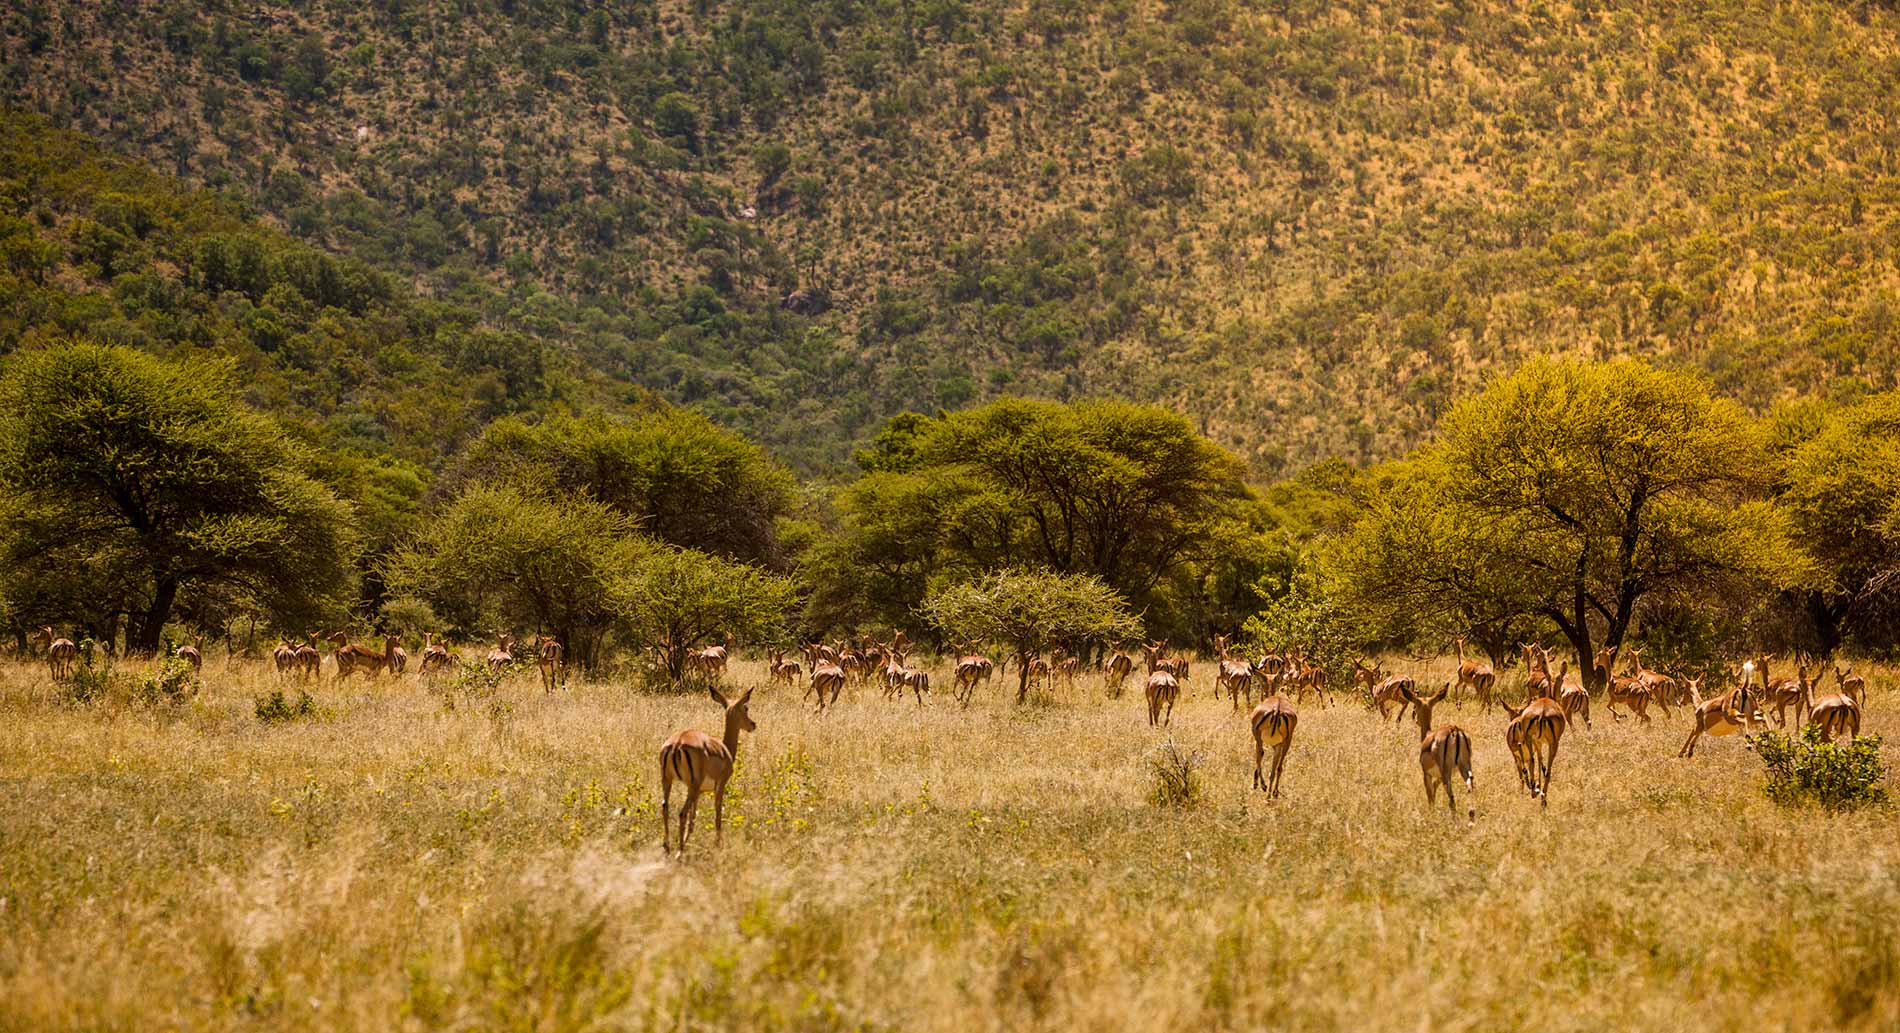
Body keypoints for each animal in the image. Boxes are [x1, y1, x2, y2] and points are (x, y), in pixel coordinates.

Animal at [658, 687, 757, 854]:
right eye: (746, 708)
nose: (753, 724)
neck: (725, 750)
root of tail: (677, 743)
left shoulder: (699, 792)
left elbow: (693, 820)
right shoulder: (720, 785)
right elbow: (717, 814)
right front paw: (718, 844)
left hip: (669, 781)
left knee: (665, 807)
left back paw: (668, 848)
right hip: (693, 785)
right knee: (682, 813)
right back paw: (680, 851)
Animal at [1402, 684, 1476, 824]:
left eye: (1415, 707)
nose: (1414, 718)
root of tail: (1454, 730)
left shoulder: (1426, 774)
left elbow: (1429, 793)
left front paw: (1430, 813)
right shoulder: (1439, 776)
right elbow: (1434, 789)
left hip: (1446, 772)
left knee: (1451, 798)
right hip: (1464, 767)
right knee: (1470, 786)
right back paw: (1471, 817)